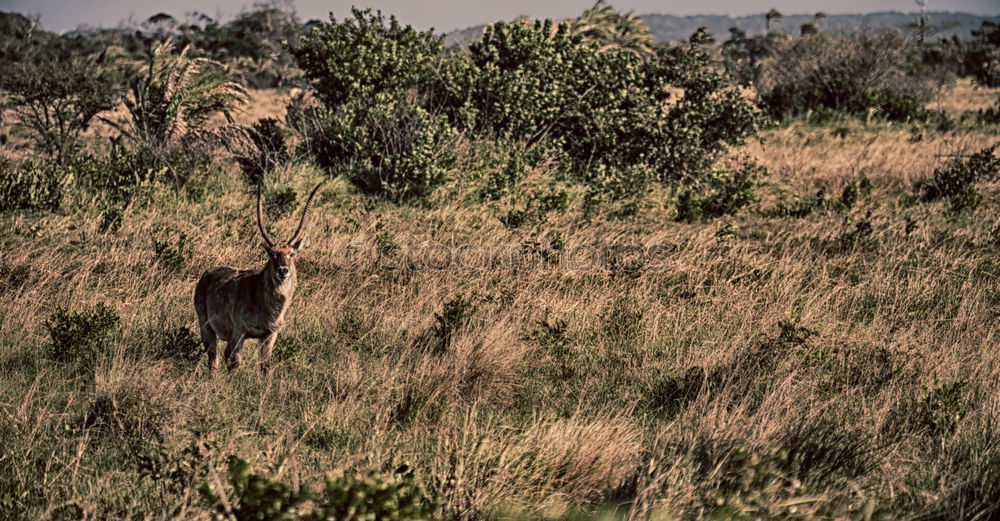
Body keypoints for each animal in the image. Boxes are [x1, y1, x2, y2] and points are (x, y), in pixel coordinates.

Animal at [193, 183, 322, 374]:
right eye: (272, 254)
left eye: (292, 254)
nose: (283, 270)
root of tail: (207, 273)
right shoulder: (239, 332)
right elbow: (234, 362)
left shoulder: (270, 335)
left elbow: (265, 365)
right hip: (206, 326)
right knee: (214, 357)